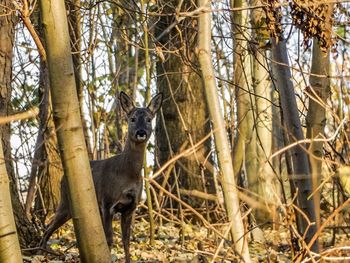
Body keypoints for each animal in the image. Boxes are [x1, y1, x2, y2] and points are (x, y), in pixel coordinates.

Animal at [40, 92, 163, 262]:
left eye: (149, 119)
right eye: (132, 119)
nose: (141, 132)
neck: (128, 174)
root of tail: (63, 178)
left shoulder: (131, 207)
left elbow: (126, 241)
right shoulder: (107, 202)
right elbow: (109, 239)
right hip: (65, 201)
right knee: (47, 228)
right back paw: (43, 253)